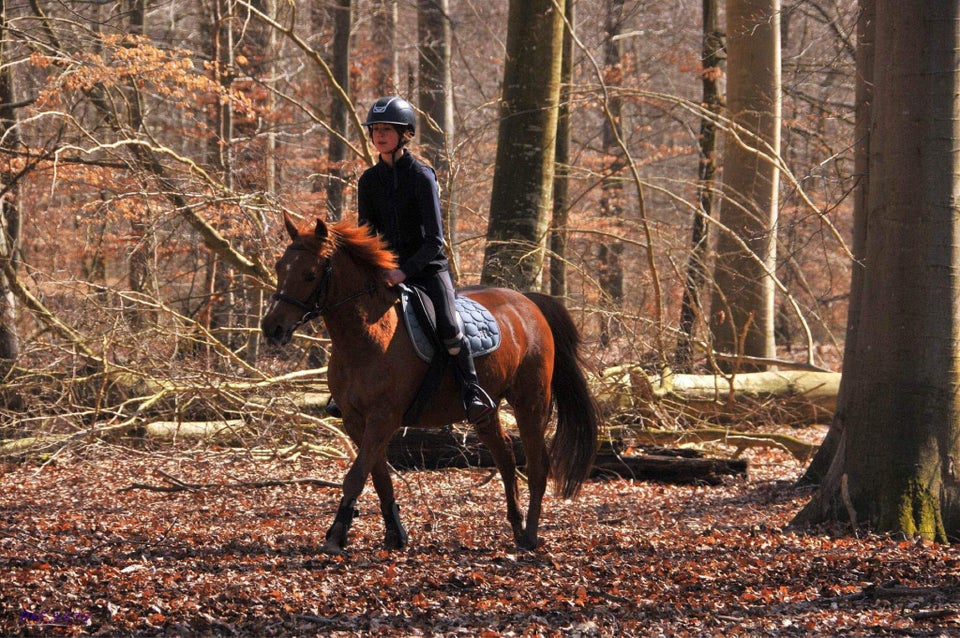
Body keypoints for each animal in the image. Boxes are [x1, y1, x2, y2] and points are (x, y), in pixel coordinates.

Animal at [260, 215, 600, 556]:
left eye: (310, 274)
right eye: (279, 267)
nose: (271, 328)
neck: (368, 335)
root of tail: (528, 302)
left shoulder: (383, 418)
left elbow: (356, 475)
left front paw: (336, 535)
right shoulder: (356, 421)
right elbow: (378, 476)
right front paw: (395, 534)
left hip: (530, 400)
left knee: (537, 463)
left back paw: (529, 535)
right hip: (486, 409)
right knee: (504, 455)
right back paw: (516, 526)